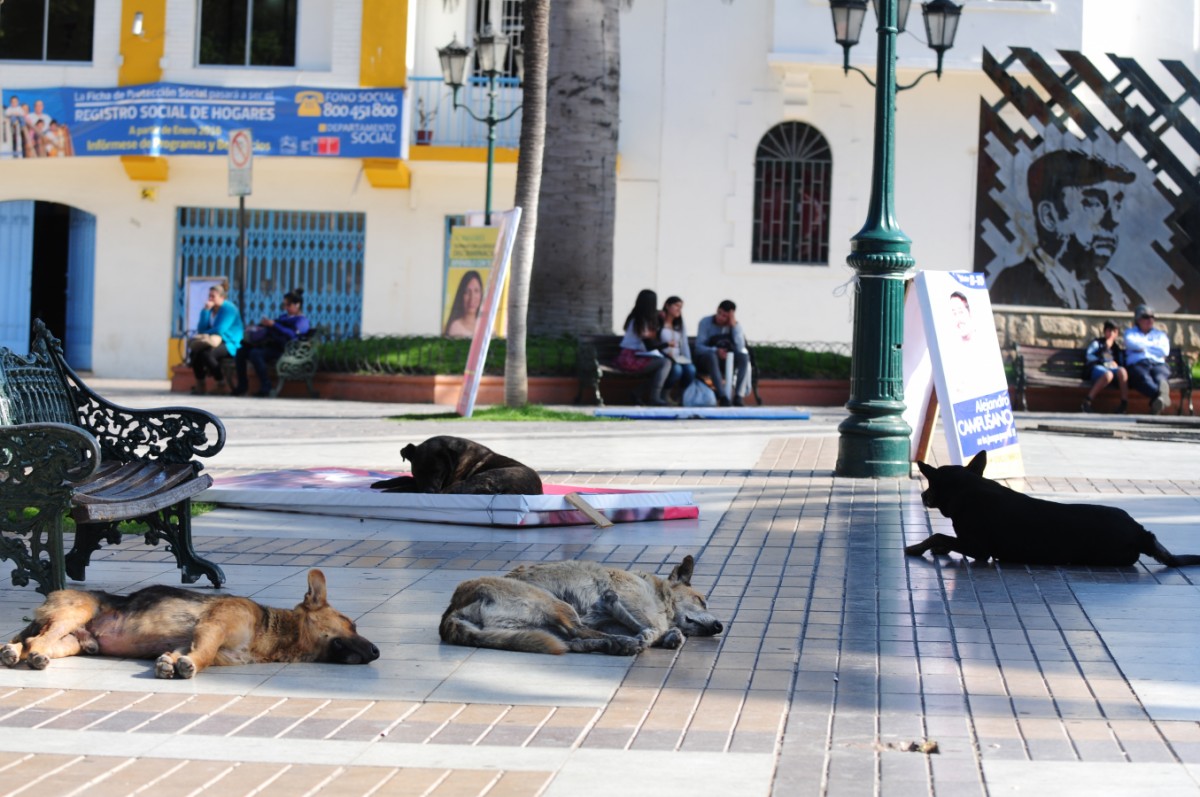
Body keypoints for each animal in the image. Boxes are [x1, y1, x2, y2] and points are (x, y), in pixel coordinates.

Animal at [1, 566, 379, 676]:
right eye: (351, 623)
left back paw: (14, 653)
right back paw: (26, 656)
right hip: (74, 614)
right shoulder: (213, 628)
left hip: (73, 643)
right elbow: (204, 653)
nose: (377, 652)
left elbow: (191, 652)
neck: (270, 630)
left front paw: (171, 662)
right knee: (34, 640)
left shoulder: (199, 640)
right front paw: (188, 666)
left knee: (32, 641)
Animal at [367, 432, 542, 494]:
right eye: (418, 471)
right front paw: (382, 483)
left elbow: (411, 484)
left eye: (438, 472)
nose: (429, 491)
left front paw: (392, 488)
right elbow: (407, 478)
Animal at [441, 554, 720, 652]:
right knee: (576, 630)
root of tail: (451, 612)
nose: (720, 626)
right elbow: (655, 626)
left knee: (573, 641)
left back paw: (613, 644)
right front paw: (659, 635)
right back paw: (622, 642)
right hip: (553, 602)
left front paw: (671, 636)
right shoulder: (633, 601)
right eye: (701, 600)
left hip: (531, 628)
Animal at [907, 448, 1200, 566]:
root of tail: (1140, 531)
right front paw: (938, 548)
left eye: (930, 486)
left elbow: (939, 534)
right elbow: (945, 538)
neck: (969, 490)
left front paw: (917, 547)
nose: (921, 495)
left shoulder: (979, 549)